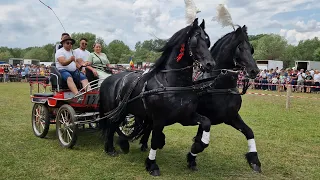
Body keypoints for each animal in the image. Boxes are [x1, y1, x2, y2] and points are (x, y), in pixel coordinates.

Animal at [99, 19, 215, 176]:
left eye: (208, 41)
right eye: (196, 40)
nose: (210, 64)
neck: (172, 84)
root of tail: (108, 78)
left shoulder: (186, 117)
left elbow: (206, 122)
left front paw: (198, 147)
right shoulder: (159, 119)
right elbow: (155, 140)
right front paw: (152, 165)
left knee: (114, 125)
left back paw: (121, 145)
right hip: (117, 111)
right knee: (111, 125)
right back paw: (111, 148)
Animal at [139, 25, 262, 173]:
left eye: (251, 48)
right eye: (240, 48)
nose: (255, 71)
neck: (219, 86)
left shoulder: (231, 117)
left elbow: (249, 132)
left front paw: (254, 160)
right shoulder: (204, 116)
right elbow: (199, 139)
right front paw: (192, 157)